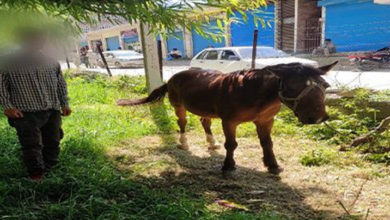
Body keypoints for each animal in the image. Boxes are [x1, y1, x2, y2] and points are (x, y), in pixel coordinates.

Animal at [116, 61, 338, 174]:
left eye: (325, 86)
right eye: (292, 85)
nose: (318, 117)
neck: (252, 91)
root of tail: (172, 77)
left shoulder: (266, 121)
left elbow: (267, 143)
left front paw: (272, 165)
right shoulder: (229, 121)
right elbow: (231, 144)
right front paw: (228, 165)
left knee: (204, 122)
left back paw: (211, 143)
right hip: (178, 106)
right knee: (182, 123)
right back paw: (183, 143)